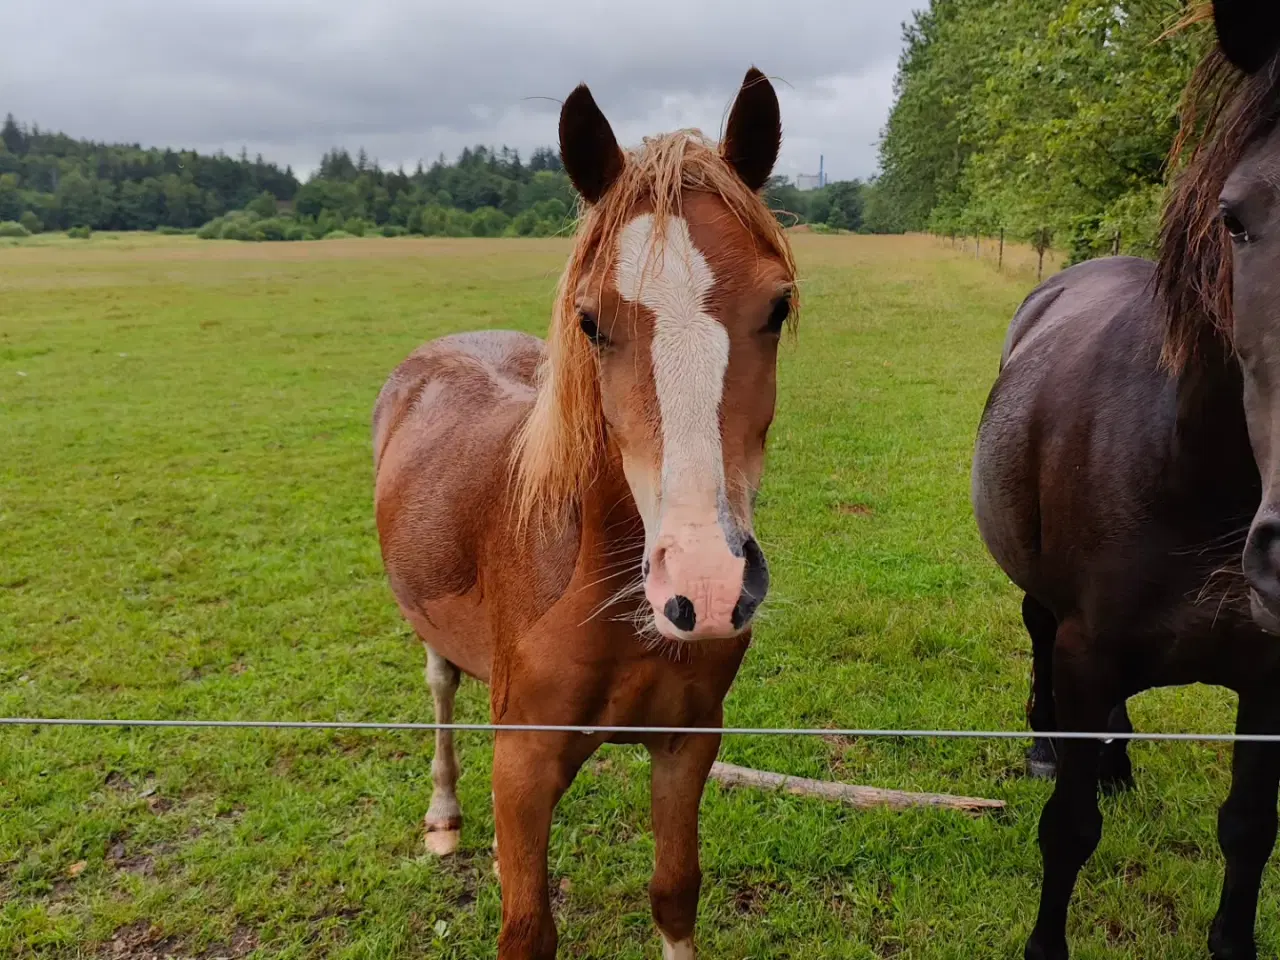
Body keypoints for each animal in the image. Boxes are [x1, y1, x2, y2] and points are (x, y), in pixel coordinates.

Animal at [371, 69, 793, 960]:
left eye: (777, 308)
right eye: (591, 320)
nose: (708, 587)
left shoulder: (687, 745)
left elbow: (674, 893)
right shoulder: (524, 766)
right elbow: (528, 927)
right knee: (440, 687)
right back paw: (443, 815)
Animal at [967, 3, 1280, 957]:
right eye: (1235, 218)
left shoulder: (1269, 679)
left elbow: (1249, 830)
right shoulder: (1087, 649)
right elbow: (1068, 832)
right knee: (1038, 639)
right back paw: (1051, 749)